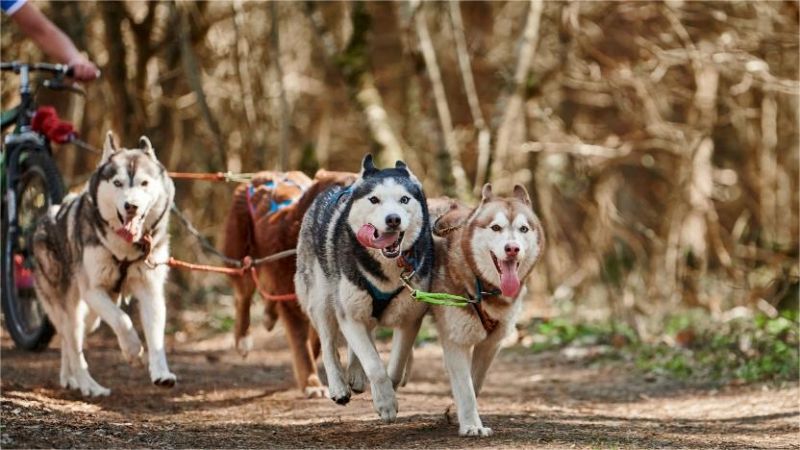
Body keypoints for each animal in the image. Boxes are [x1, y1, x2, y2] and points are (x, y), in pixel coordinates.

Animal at [32, 131, 175, 398]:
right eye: (118, 183)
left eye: (144, 183)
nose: (131, 206)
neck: (126, 250)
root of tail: (46, 217)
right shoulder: (93, 290)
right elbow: (123, 320)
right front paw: (132, 350)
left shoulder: (150, 290)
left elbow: (156, 337)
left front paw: (161, 373)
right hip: (72, 307)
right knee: (73, 343)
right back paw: (88, 385)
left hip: (91, 319)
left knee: (68, 341)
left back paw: (70, 379)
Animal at [220, 169, 354, 398]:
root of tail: (262, 175)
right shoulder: (292, 305)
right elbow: (302, 347)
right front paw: (311, 383)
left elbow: (317, 341)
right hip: (243, 256)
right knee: (243, 296)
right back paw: (243, 338)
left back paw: (269, 315)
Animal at [294, 155, 432, 422]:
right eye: (374, 199)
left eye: (404, 199)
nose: (393, 219)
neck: (387, 270)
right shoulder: (348, 314)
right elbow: (374, 365)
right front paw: (385, 403)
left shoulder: (409, 319)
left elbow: (395, 364)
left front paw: (388, 389)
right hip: (322, 300)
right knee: (328, 344)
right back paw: (338, 386)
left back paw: (356, 375)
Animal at [432, 184, 544, 436]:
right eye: (496, 227)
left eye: (523, 228)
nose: (512, 248)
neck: (483, 288)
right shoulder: (456, 339)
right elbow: (465, 388)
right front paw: (471, 425)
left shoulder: (492, 343)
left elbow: (474, 382)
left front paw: (456, 412)